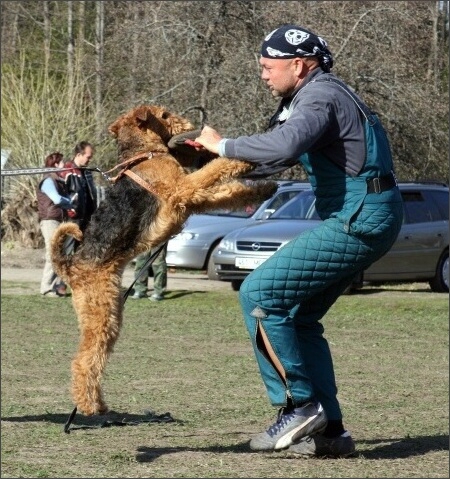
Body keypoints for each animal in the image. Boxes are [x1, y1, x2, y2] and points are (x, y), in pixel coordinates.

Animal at [51, 104, 278, 416]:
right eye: (165, 115)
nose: (190, 124)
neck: (145, 153)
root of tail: (70, 267)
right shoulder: (183, 190)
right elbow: (215, 171)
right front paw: (238, 156)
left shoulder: (191, 198)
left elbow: (226, 191)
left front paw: (266, 188)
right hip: (100, 311)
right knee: (82, 360)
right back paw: (89, 407)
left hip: (110, 314)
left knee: (95, 357)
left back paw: (99, 403)